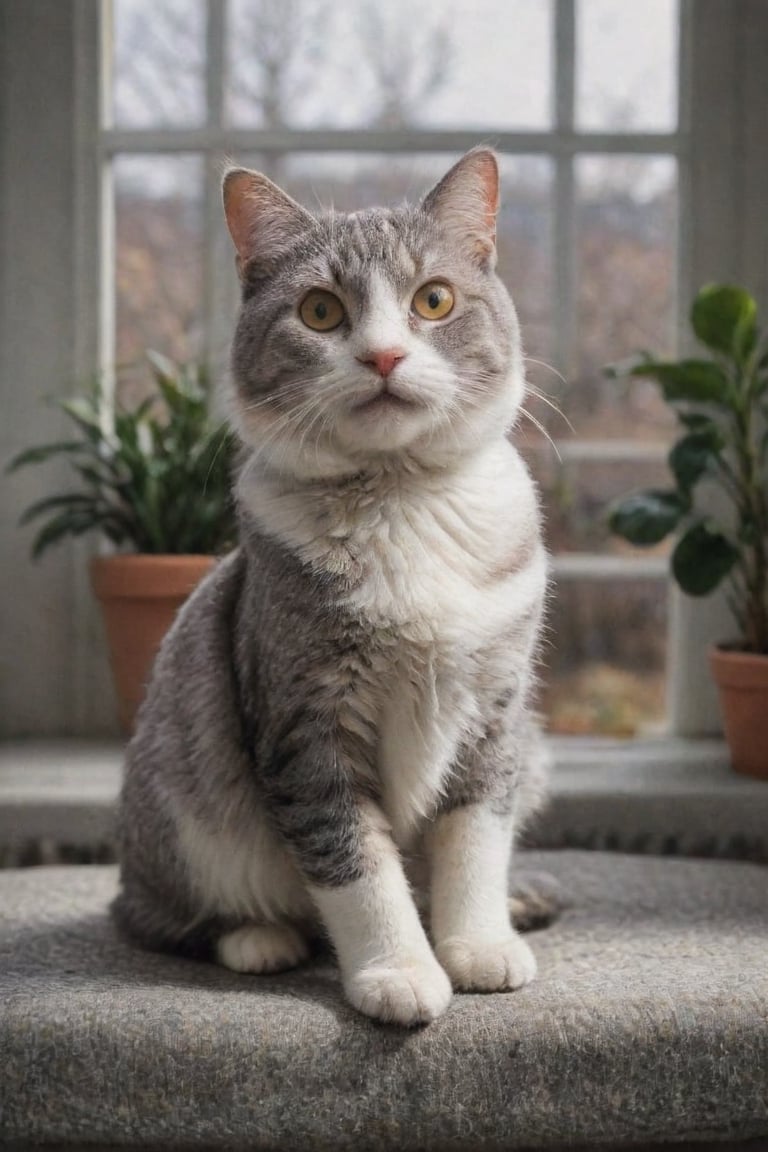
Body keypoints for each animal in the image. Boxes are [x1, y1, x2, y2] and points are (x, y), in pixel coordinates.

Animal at [111, 146, 550, 1027]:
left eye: (434, 299)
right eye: (319, 311)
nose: (383, 356)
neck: (401, 502)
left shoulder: (496, 711)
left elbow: (475, 840)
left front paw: (479, 943)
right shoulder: (305, 720)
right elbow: (354, 864)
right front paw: (399, 973)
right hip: (181, 815)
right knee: (156, 917)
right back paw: (258, 938)